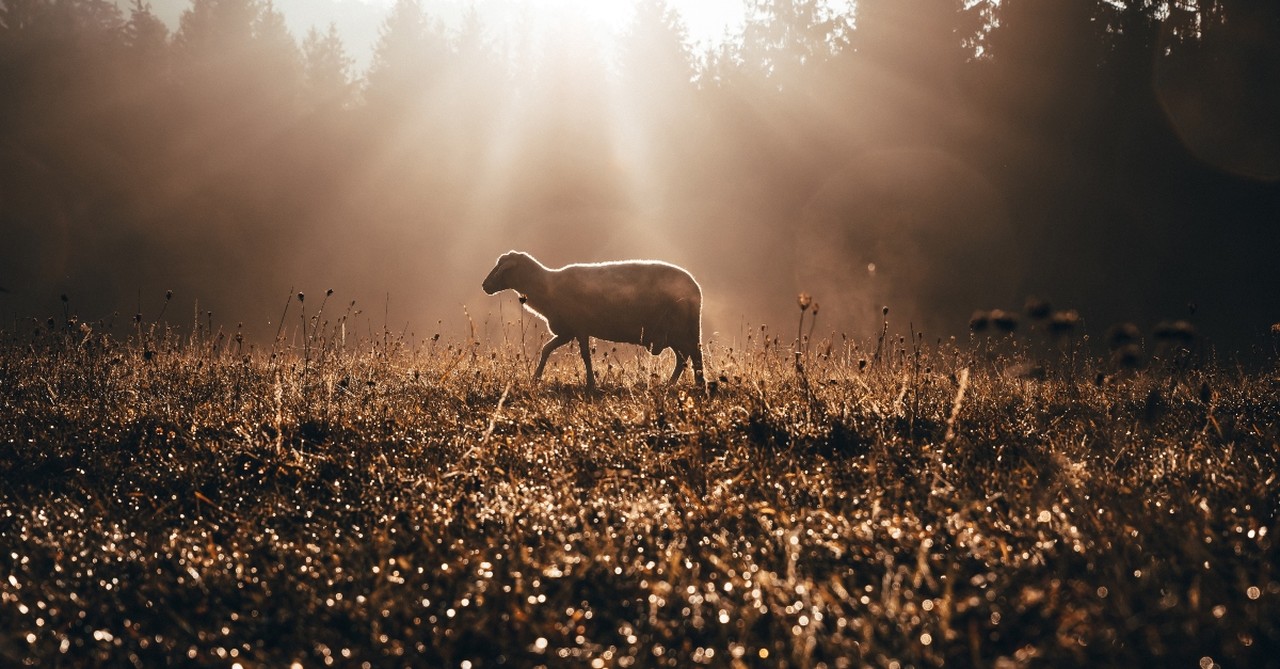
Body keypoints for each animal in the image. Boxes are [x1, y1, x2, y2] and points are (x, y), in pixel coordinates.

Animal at [481, 254, 706, 396]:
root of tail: (696, 288)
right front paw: (536, 378)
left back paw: (699, 385)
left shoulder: (579, 328)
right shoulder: (568, 331)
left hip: (681, 329)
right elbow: (546, 349)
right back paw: (672, 384)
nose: (484, 286)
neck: (547, 287)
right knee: (683, 358)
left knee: (694, 355)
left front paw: (590, 385)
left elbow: (585, 356)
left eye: (502, 268)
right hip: (674, 333)